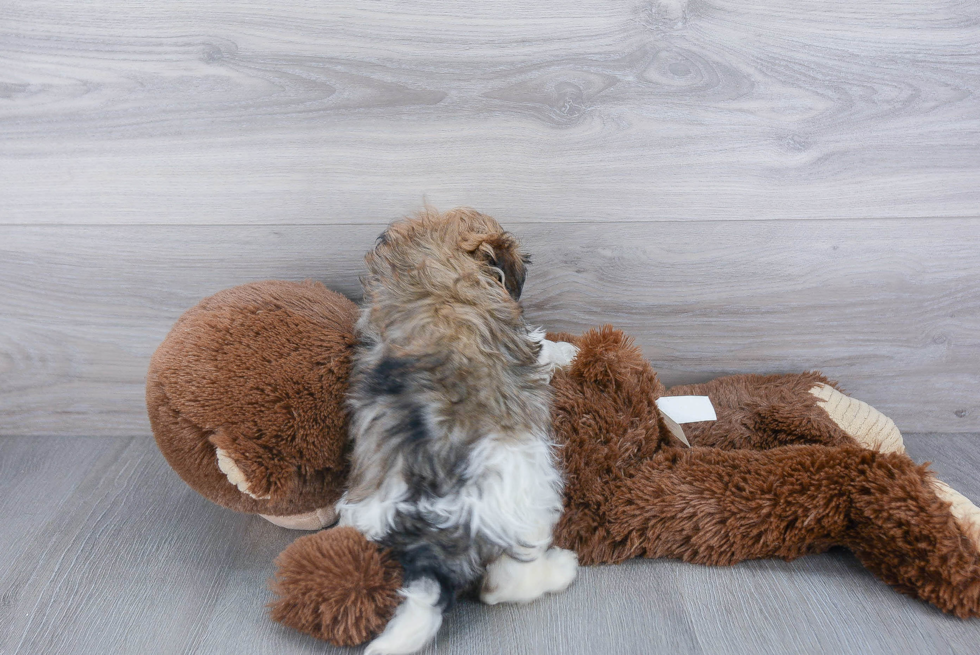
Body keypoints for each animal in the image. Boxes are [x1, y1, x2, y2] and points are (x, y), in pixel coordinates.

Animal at [338, 209, 580, 655]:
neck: (432, 266)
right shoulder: (521, 339)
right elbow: (543, 345)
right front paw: (569, 352)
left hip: (363, 508)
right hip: (530, 485)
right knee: (501, 582)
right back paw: (560, 568)